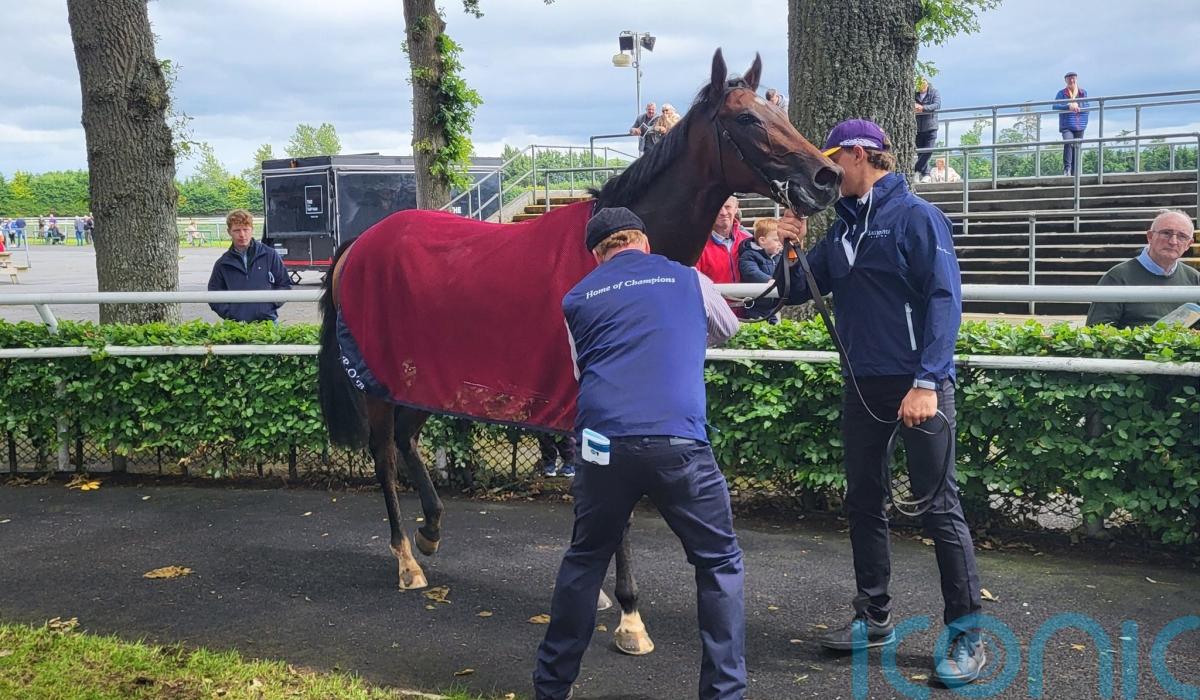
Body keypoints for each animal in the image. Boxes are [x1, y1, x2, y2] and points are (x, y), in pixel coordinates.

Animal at [316, 48, 841, 656]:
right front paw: (630, 617)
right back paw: (406, 560)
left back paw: (430, 532)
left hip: (416, 376)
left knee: (405, 441)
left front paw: (607, 597)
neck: (617, 253)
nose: (826, 179)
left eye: (778, 109)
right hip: (378, 382)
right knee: (382, 452)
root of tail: (358, 243)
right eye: (749, 119)